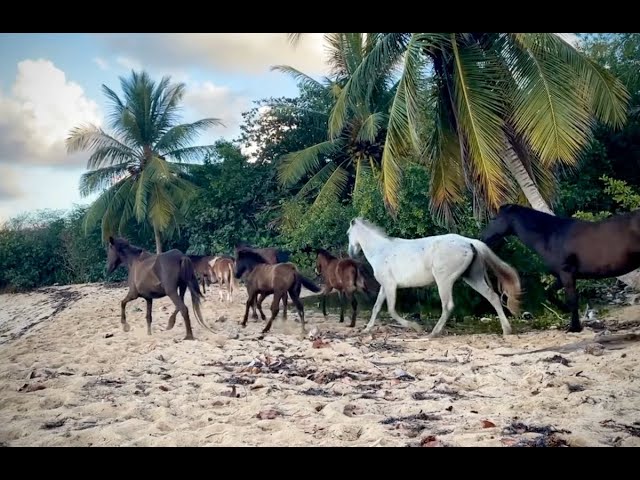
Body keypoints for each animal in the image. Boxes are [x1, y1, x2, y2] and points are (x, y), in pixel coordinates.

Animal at [346, 217, 522, 337]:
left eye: (348, 233)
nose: (351, 253)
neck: (380, 250)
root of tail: (469, 242)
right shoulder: (385, 286)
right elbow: (376, 307)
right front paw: (367, 328)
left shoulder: (390, 286)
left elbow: (391, 310)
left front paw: (415, 327)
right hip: (473, 278)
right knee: (493, 297)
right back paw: (507, 330)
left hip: (444, 281)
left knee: (448, 305)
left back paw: (433, 333)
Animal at [480, 203, 640, 333]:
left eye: (493, 219)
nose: (482, 238)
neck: (551, 235)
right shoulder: (562, 276)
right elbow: (549, 293)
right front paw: (563, 309)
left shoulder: (566, 273)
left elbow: (572, 299)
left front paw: (574, 327)